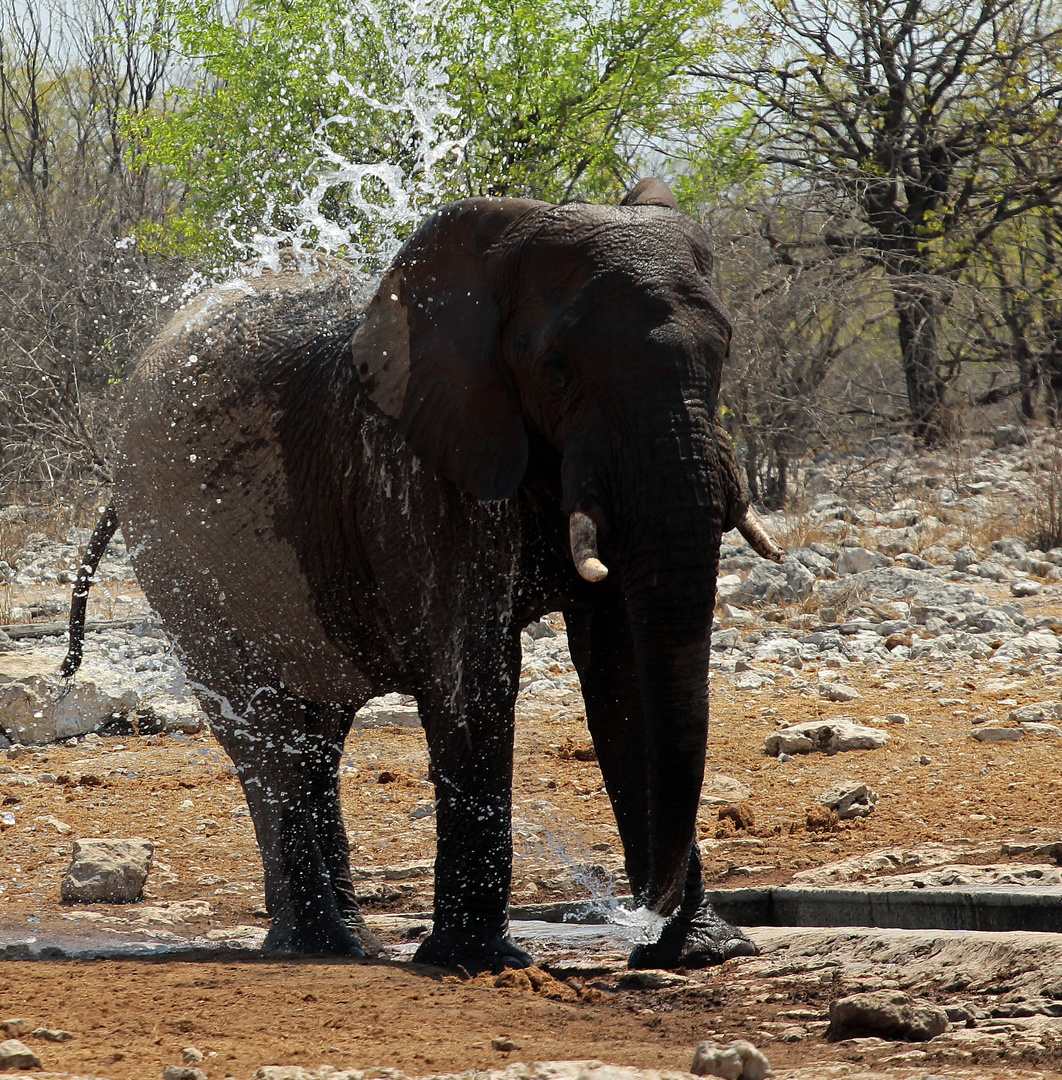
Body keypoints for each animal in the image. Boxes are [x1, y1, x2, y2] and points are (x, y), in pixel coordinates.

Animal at [64, 177, 782, 972]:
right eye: (556, 370)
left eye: (723, 351)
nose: (643, 909)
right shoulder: (419, 468)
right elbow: (476, 669)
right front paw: (479, 962)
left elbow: (623, 667)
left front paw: (703, 953)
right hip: (178, 562)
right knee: (264, 732)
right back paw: (317, 944)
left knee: (317, 734)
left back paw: (345, 941)